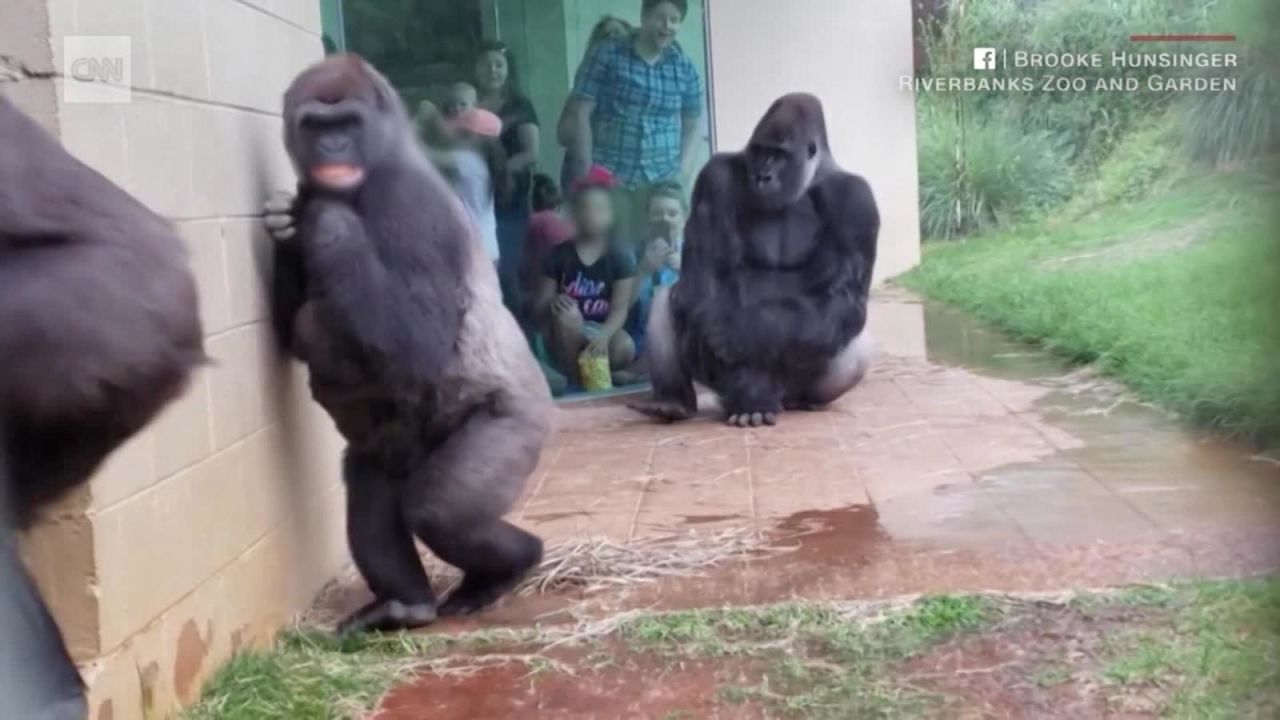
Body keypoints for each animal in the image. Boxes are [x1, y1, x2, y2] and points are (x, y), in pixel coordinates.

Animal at [267, 53, 552, 630]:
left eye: (347, 124)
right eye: (316, 126)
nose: (333, 150)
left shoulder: (409, 204)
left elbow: (414, 341)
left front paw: (329, 219)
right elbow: (291, 329)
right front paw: (289, 223)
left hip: (519, 425)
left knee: (443, 510)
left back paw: (511, 567)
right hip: (393, 448)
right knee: (371, 484)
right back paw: (406, 604)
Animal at [629, 90, 880, 425]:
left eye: (779, 154)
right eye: (760, 151)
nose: (763, 175)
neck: (810, 178)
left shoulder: (856, 200)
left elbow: (839, 297)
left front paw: (736, 342)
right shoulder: (714, 177)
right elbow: (704, 283)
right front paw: (750, 393)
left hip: (795, 388)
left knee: (856, 343)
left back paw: (804, 401)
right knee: (669, 295)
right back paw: (674, 402)